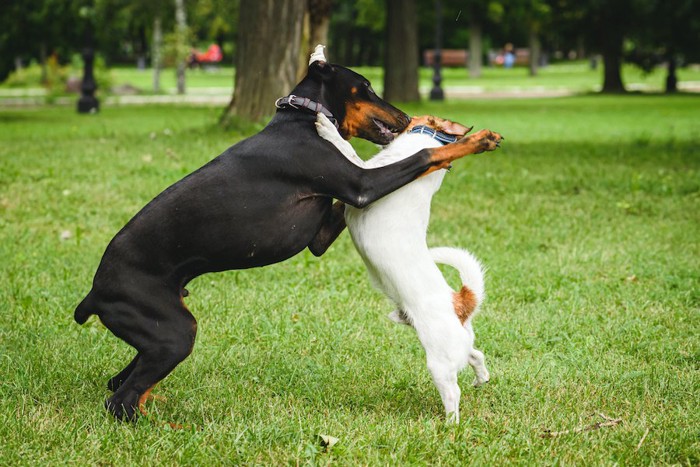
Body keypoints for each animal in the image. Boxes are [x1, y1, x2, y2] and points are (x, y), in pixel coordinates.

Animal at [314, 113, 500, 424]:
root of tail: (461, 302)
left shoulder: (366, 175)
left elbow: (347, 151)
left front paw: (327, 128)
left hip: (438, 362)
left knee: (454, 393)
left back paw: (450, 425)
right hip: (455, 347)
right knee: (476, 355)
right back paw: (481, 378)